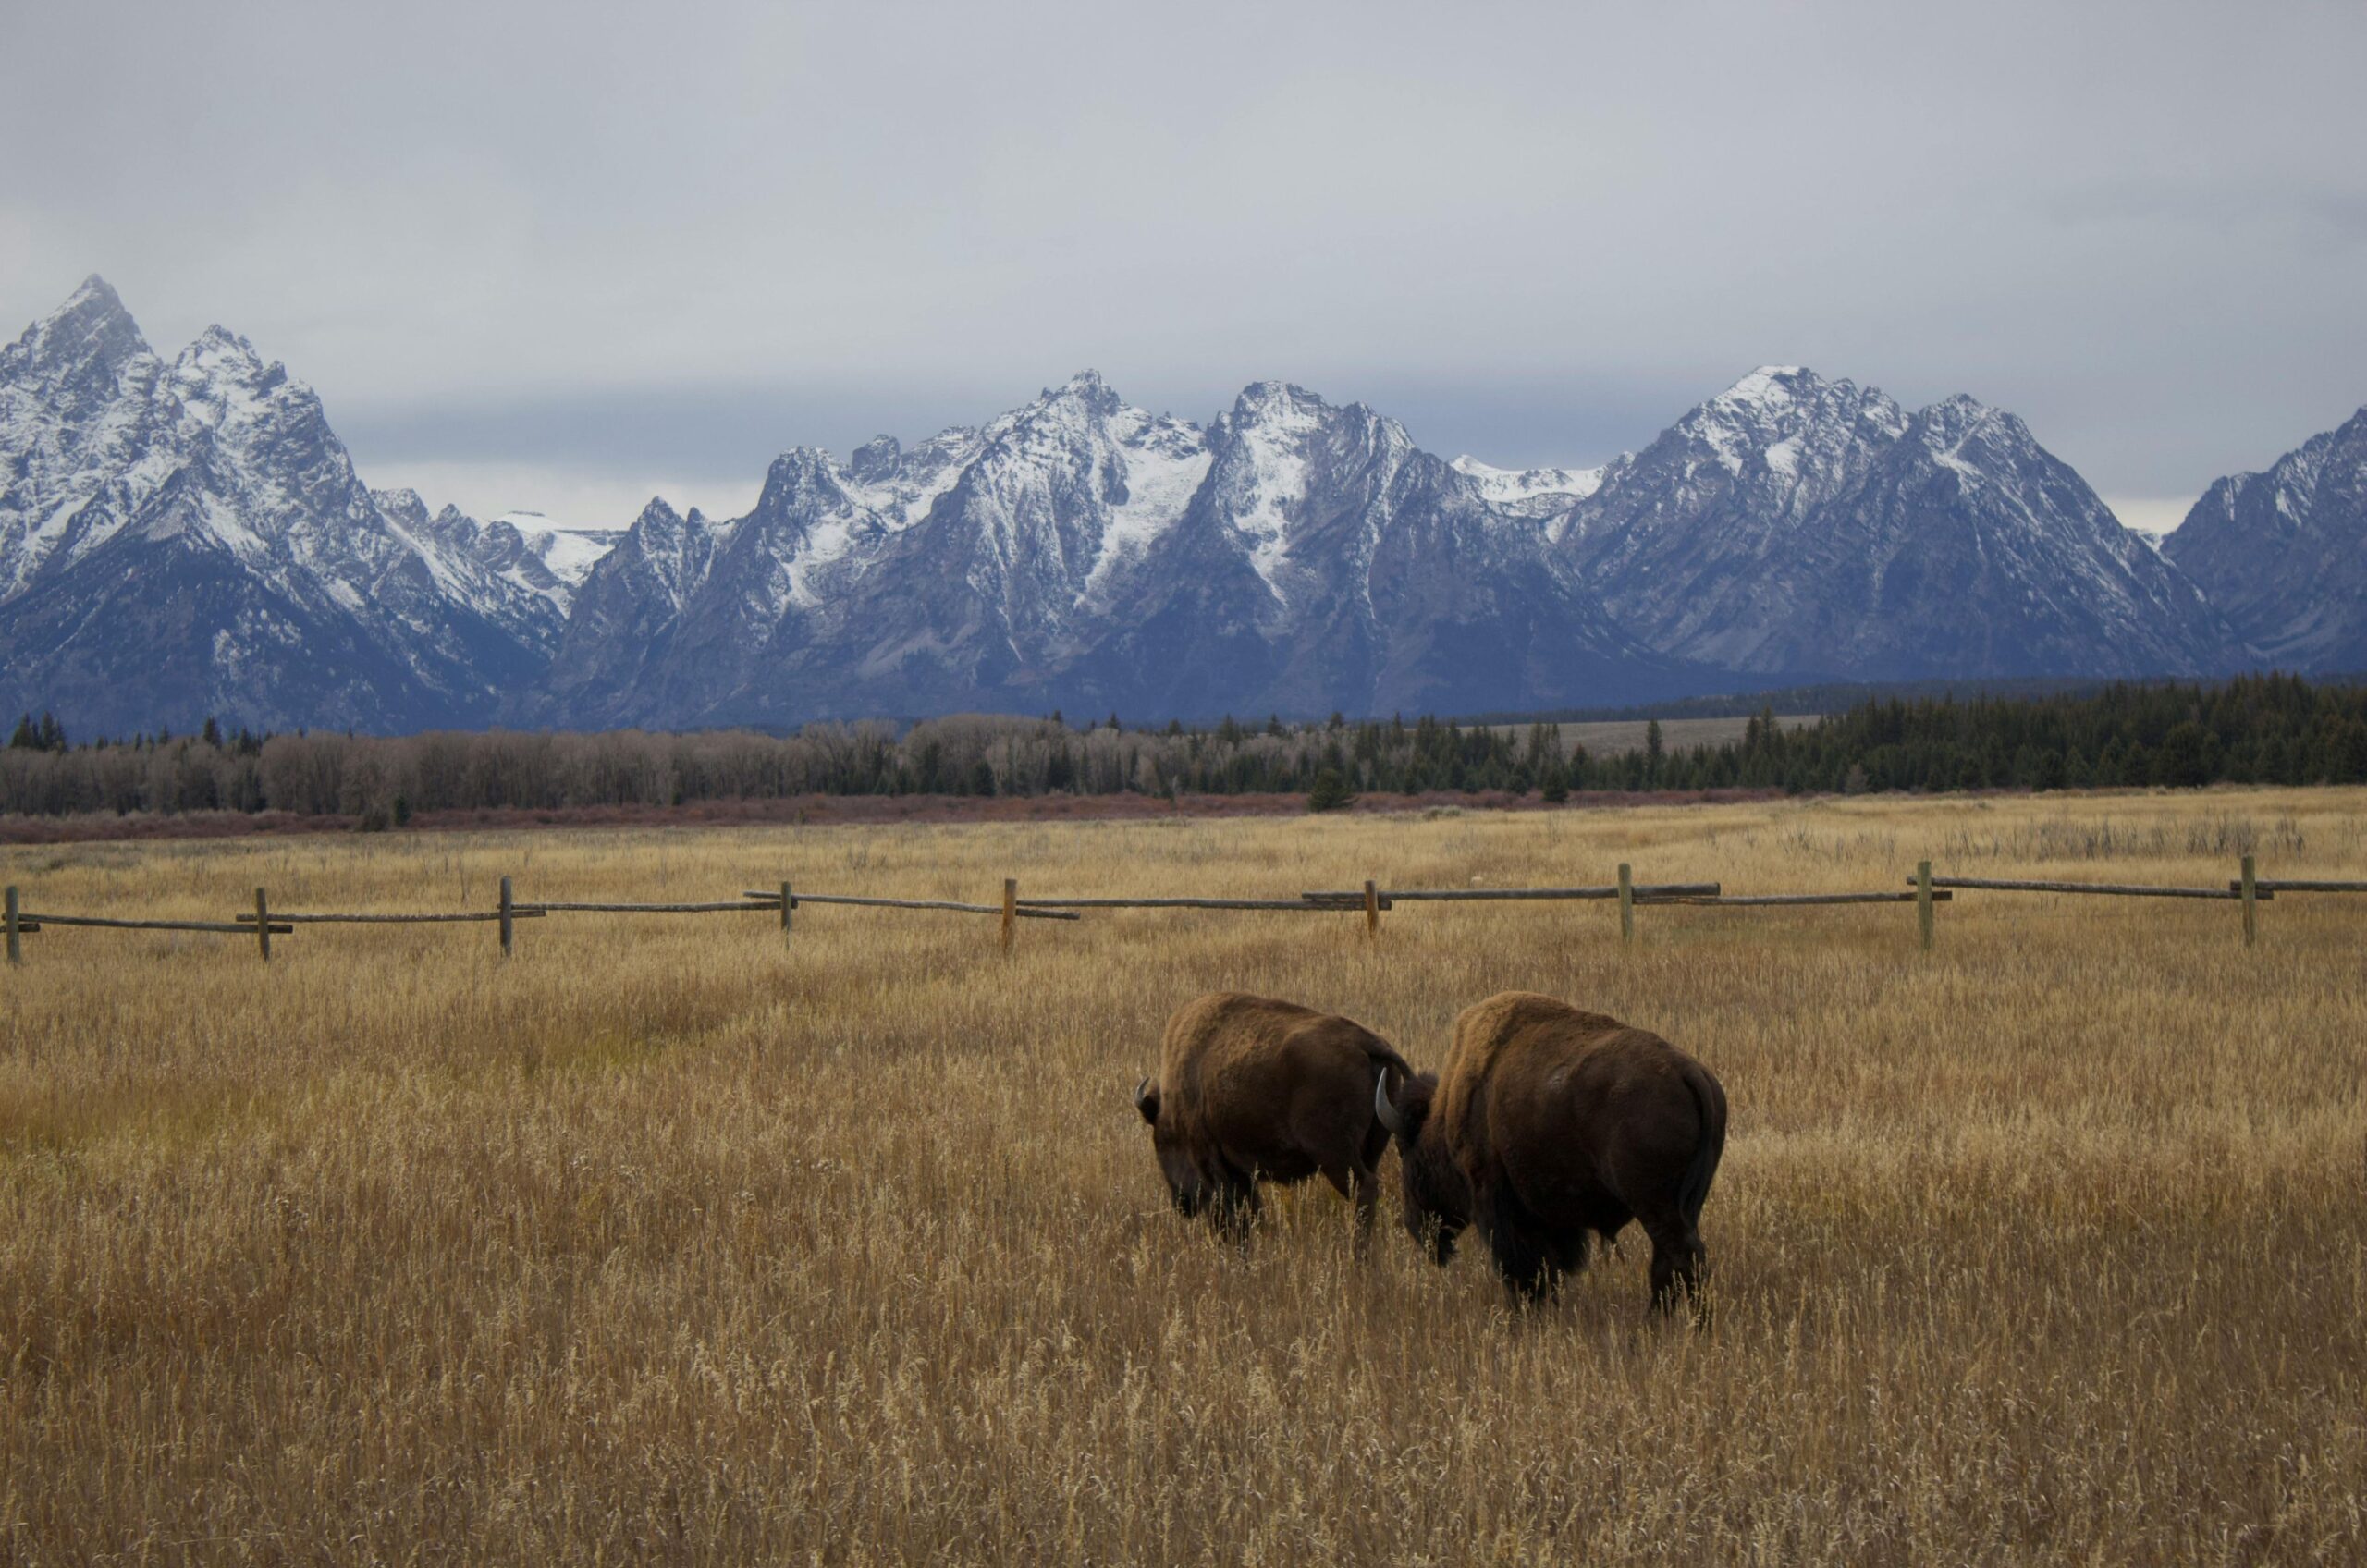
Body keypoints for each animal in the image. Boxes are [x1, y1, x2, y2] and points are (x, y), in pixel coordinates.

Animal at [1135, 992, 1413, 1252]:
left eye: (1161, 1142)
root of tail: (1368, 1044)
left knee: (1363, 1188)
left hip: (1334, 1154)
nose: (1182, 1204)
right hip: (1370, 1148)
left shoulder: (1211, 1162)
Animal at [1374, 991, 1727, 1314]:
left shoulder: (1498, 1201)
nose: (1418, 1229)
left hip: (1655, 1206)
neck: (1449, 1112)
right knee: (1671, 1265)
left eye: (1406, 1152)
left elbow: (1523, 1267)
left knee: (1681, 1258)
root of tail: (1690, 1073)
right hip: (1686, 1204)